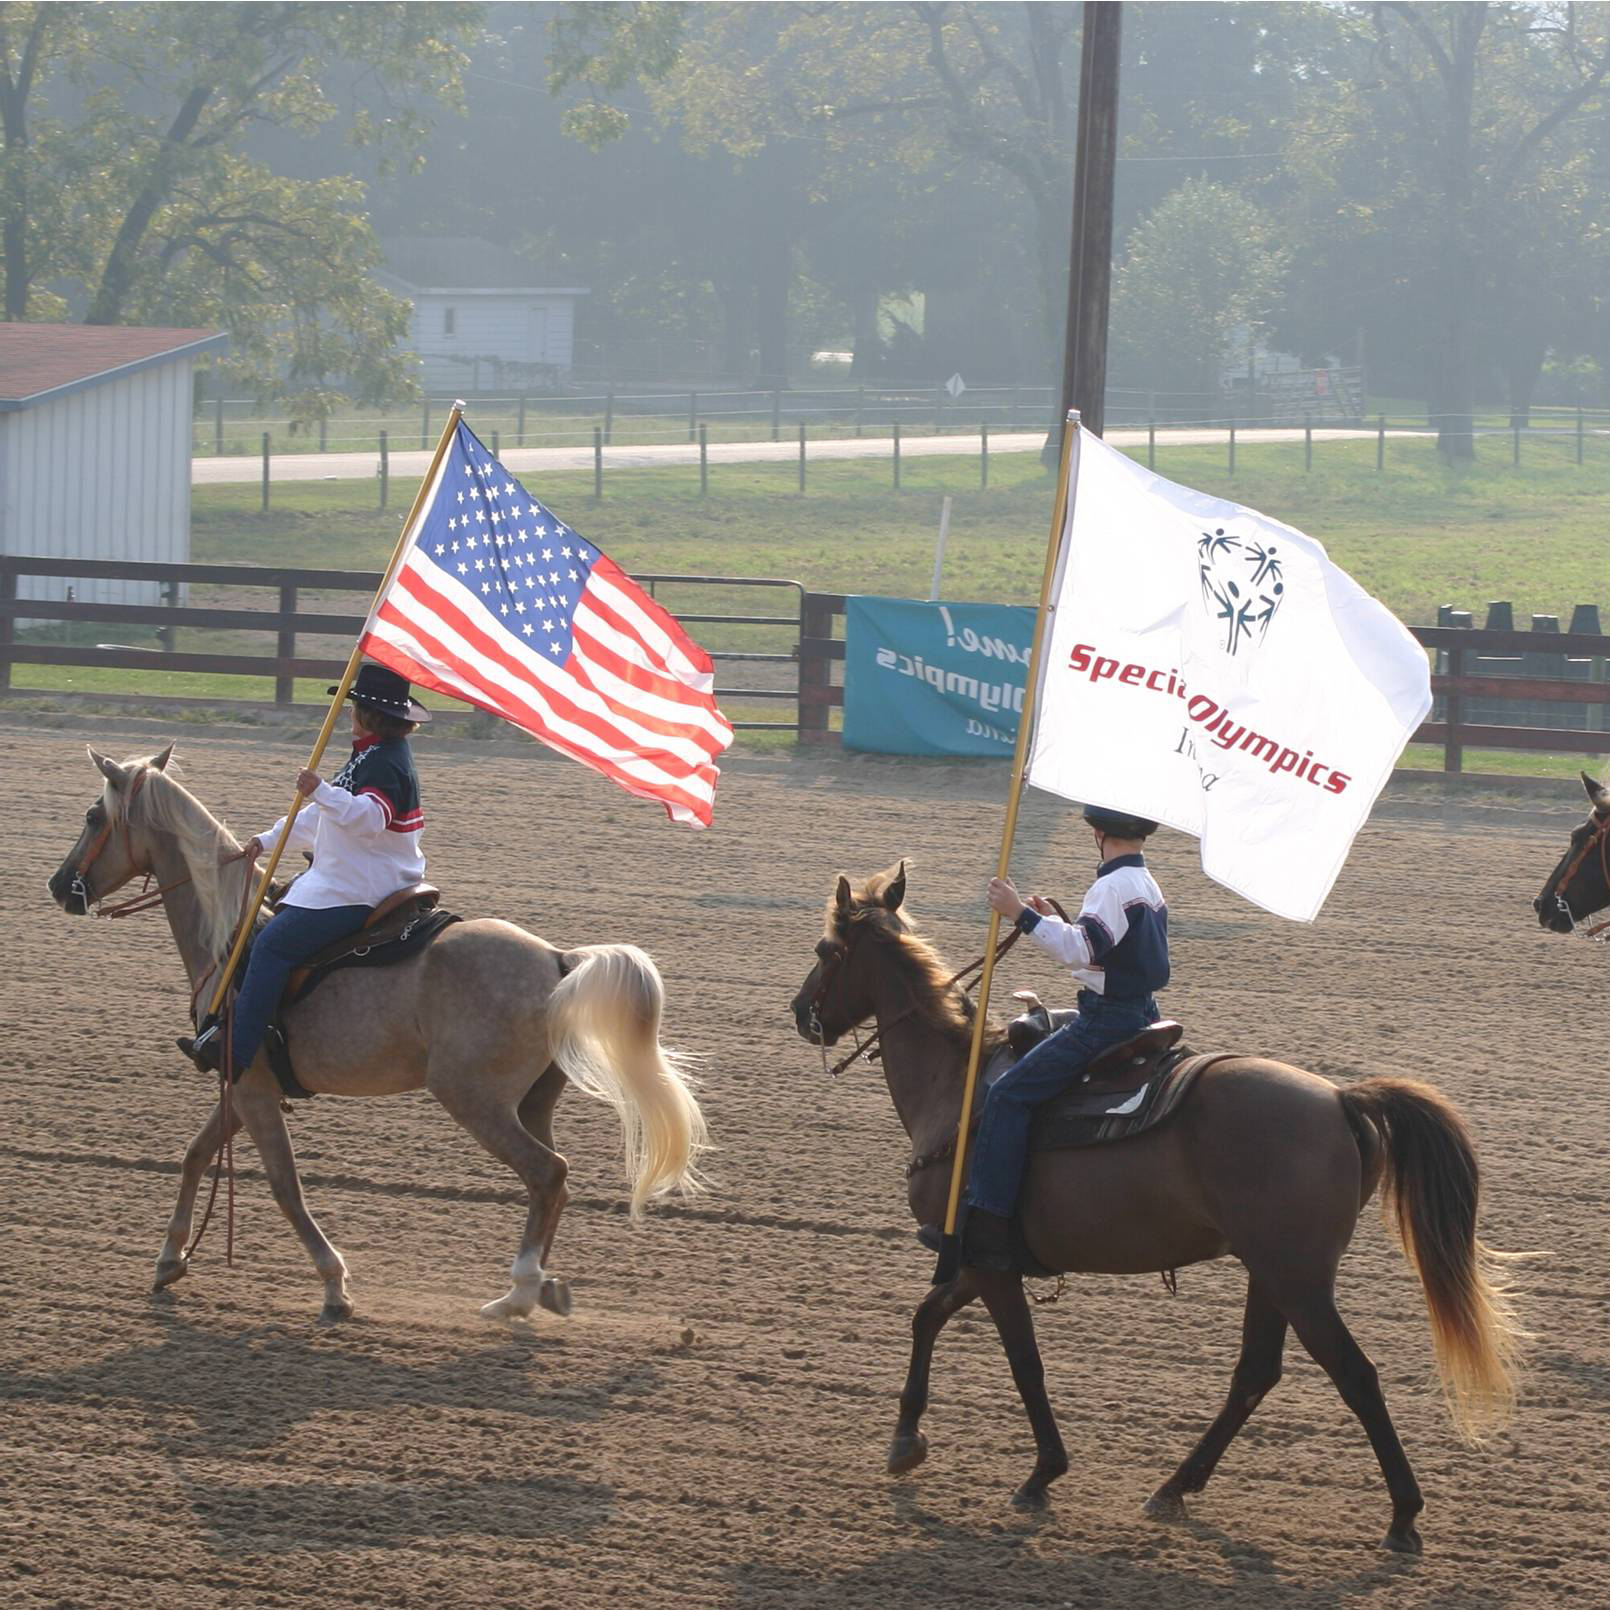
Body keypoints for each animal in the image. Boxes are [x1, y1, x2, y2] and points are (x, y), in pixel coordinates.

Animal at [47, 747, 705, 1326]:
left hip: (474, 1099)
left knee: (546, 1174)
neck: (232, 940)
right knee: (556, 1183)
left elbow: (285, 1186)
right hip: (532, 1101)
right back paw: (539, 1289)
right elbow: (194, 1155)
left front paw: (334, 1286)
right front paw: (168, 1260)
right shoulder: (243, 1087)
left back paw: (516, 1294)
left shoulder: (253, 1090)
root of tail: (557, 960)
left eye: (93, 816)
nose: (59, 885)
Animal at [788, 862, 1519, 1552]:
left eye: (826, 949)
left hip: (1298, 1278)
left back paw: (1402, 1517)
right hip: (1271, 1272)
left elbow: (1024, 1361)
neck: (958, 1088)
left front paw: (1042, 1472)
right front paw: (905, 1441)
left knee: (1355, 1375)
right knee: (1256, 1372)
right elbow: (926, 1317)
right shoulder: (978, 1258)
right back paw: (1174, 1487)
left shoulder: (990, 1263)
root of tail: (1341, 1098)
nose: (799, 1013)